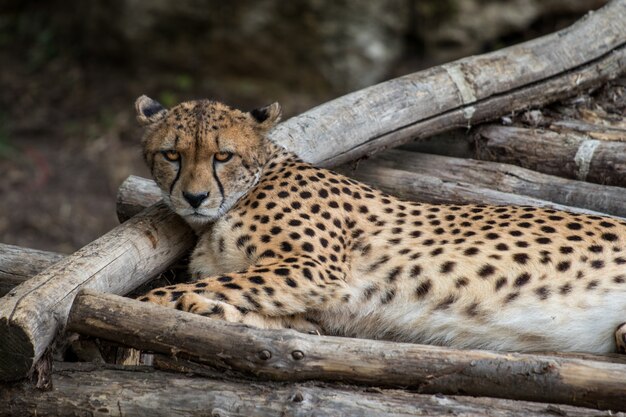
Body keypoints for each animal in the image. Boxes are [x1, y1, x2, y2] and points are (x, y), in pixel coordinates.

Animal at [135, 95, 624, 354]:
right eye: (172, 154)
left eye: (223, 155)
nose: (195, 197)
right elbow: (253, 309)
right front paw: (219, 311)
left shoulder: (312, 268)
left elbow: (161, 295)